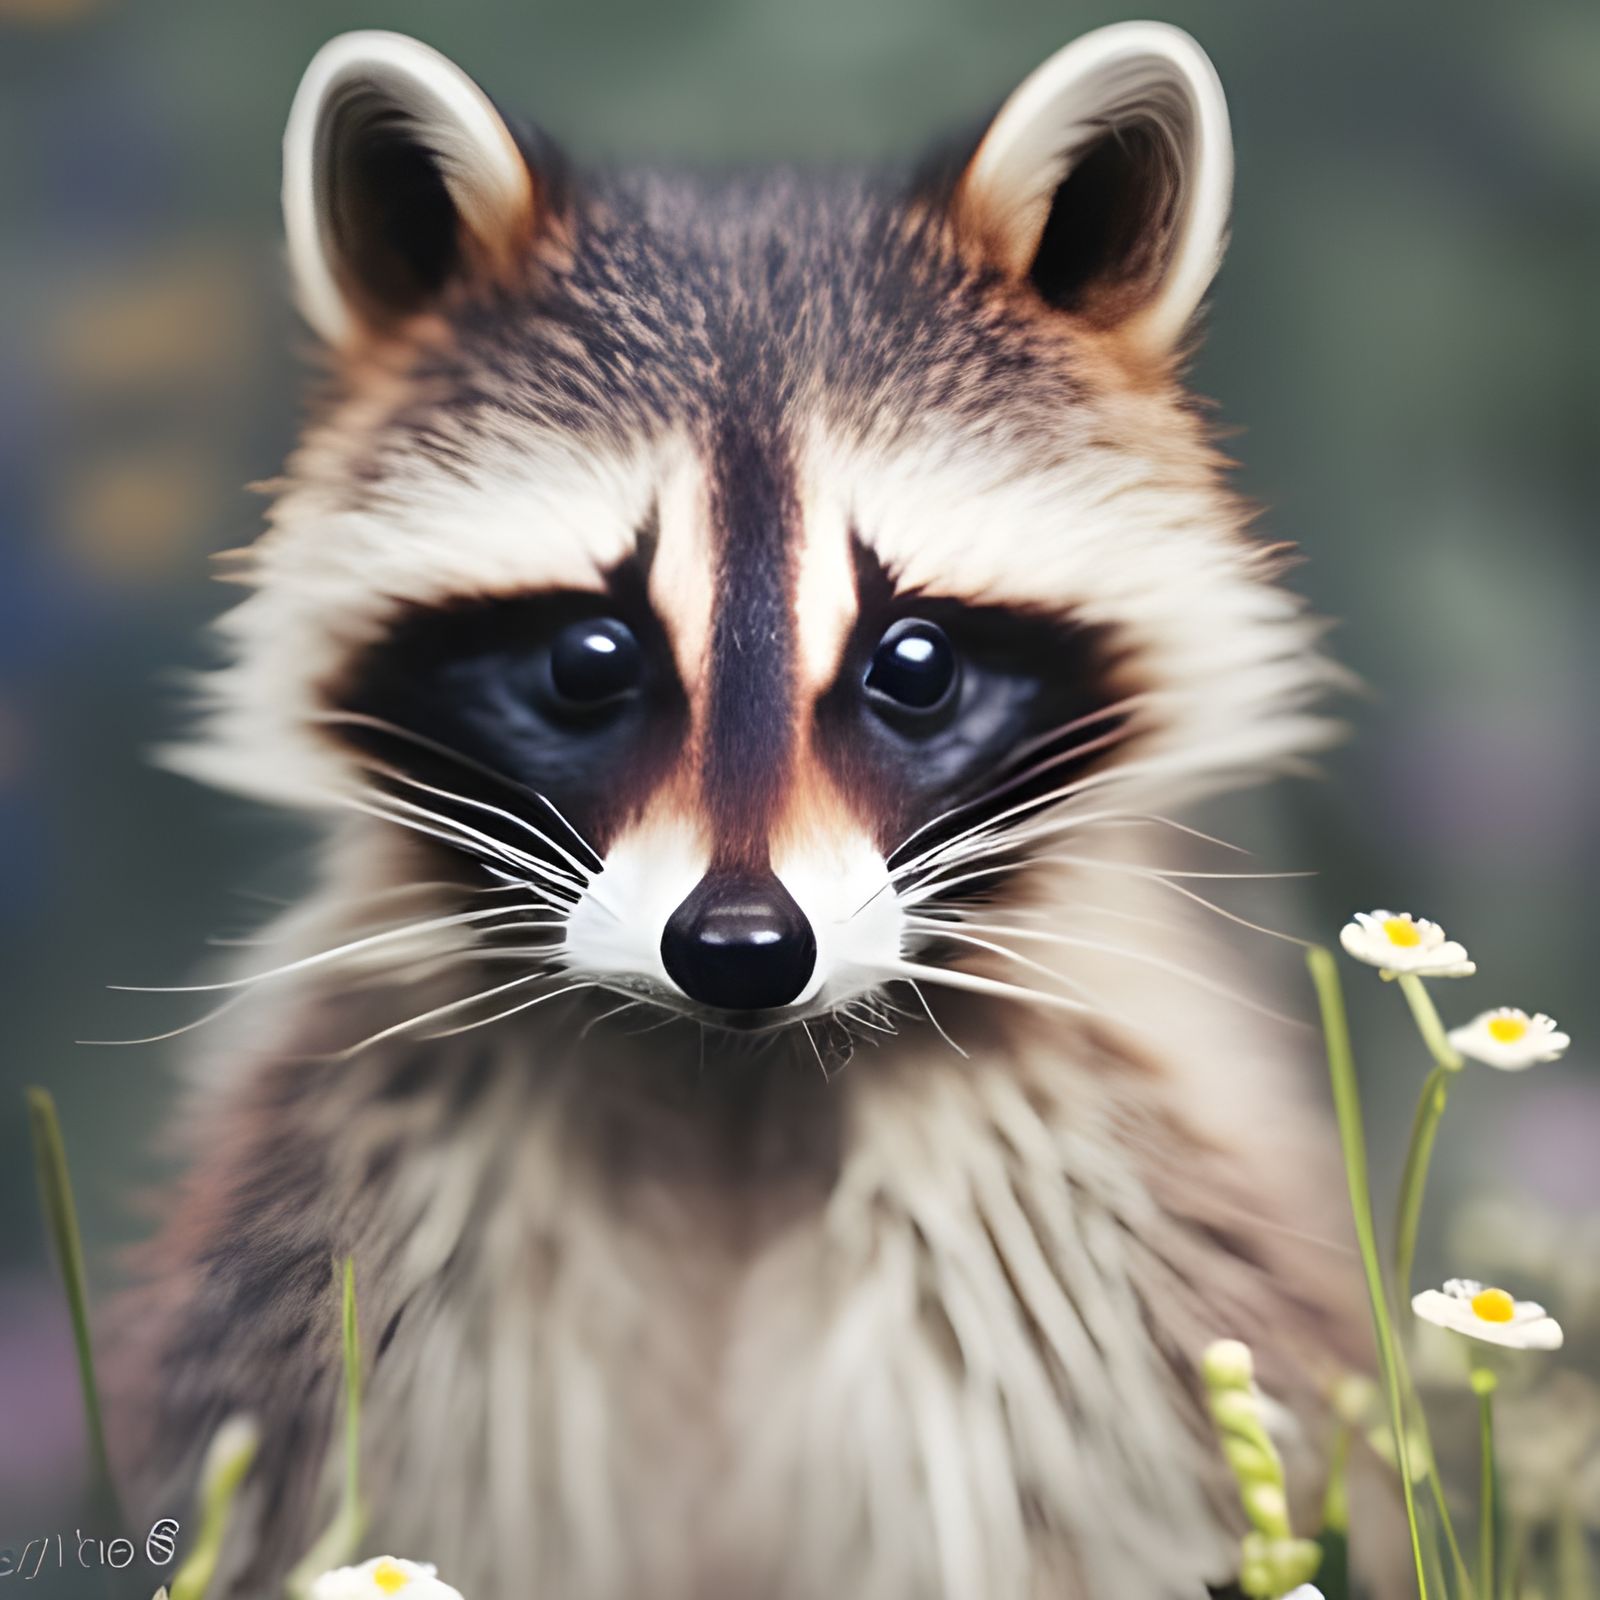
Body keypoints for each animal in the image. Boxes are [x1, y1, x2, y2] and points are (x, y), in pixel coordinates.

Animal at [107, 23, 1365, 1600]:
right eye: (592, 658)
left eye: (915, 664)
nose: (743, 948)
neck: (733, 1086)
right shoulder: (381, 1216)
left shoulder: (1080, 1242)